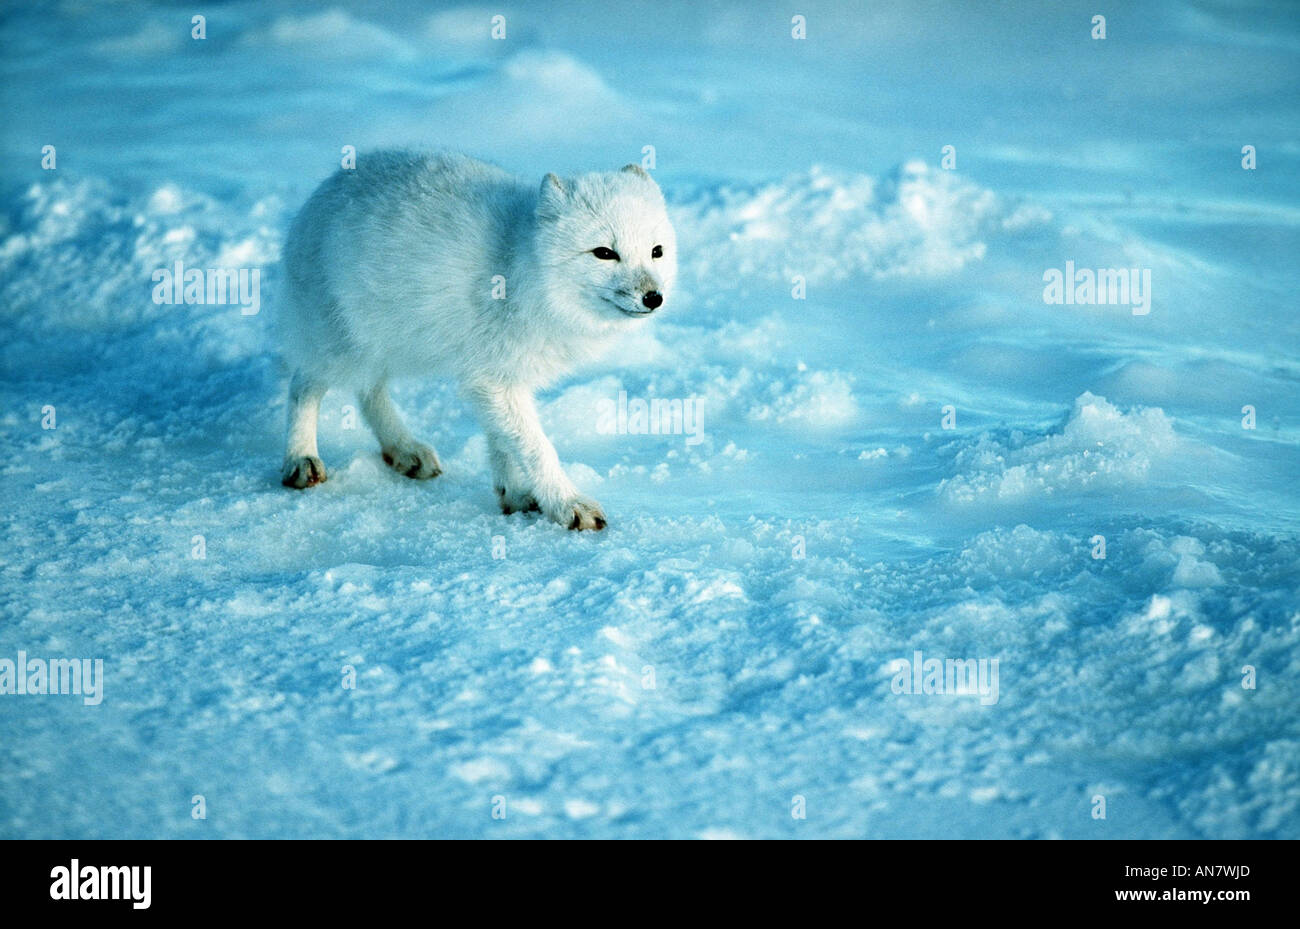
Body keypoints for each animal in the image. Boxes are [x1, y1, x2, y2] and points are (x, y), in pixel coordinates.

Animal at [278, 152, 676, 530]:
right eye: (604, 253)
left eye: (656, 251)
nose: (653, 298)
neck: (519, 266)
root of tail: (326, 187)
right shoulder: (494, 378)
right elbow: (536, 447)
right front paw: (567, 505)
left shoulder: (493, 376)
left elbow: (502, 439)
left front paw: (515, 493)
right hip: (340, 344)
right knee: (303, 384)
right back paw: (301, 459)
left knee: (368, 390)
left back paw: (404, 450)